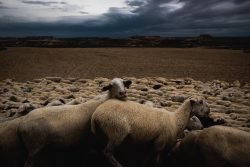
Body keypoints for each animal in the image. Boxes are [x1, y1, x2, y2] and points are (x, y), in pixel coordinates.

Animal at [0, 78, 132, 167]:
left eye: (123, 83)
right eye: (111, 86)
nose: (122, 93)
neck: (101, 101)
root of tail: (21, 124)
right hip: (34, 147)